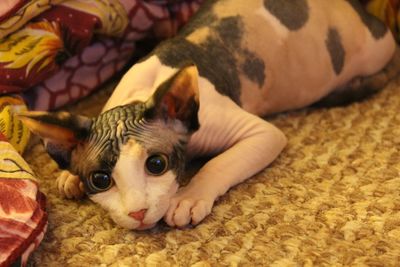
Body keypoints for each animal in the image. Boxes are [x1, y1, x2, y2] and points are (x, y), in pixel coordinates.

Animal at [20, 0, 398, 230]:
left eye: (156, 164)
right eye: (100, 180)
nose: (138, 213)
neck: (145, 91)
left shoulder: (258, 132)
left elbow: (219, 162)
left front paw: (189, 197)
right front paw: (68, 177)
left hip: (374, 48)